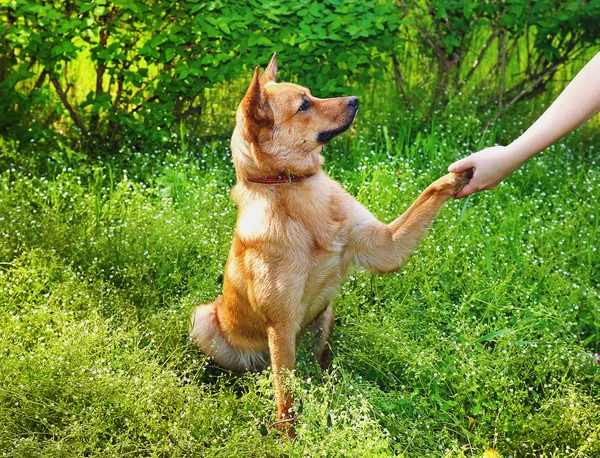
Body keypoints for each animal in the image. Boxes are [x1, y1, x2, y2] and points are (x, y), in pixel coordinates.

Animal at [190, 53, 472, 436]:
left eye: (311, 94)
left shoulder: (386, 246)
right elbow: (287, 398)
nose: (354, 100)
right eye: (304, 105)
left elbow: (428, 194)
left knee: (321, 365)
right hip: (205, 320)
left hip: (325, 316)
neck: (291, 186)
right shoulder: (281, 325)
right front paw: (291, 438)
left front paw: (460, 174)